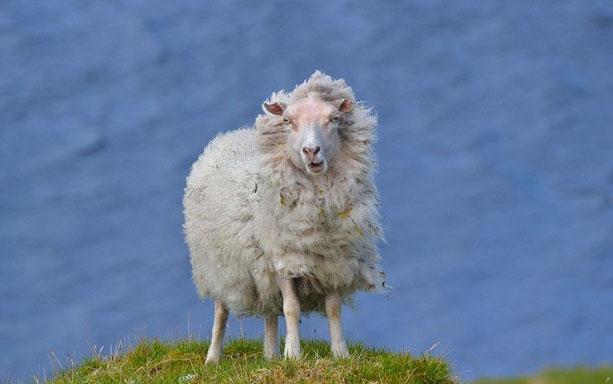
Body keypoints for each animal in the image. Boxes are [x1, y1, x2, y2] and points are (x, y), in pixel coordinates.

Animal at [183, 72, 382, 364]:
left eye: (334, 118)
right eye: (288, 120)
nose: (311, 151)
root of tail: (228, 136)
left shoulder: (334, 261)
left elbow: (333, 308)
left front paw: (340, 353)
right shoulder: (283, 260)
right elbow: (292, 308)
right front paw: (294, 355)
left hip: (260, 273)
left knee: (269, 313)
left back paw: (270, 354)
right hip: (220, 266)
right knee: (221, 311)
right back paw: (213, 357)